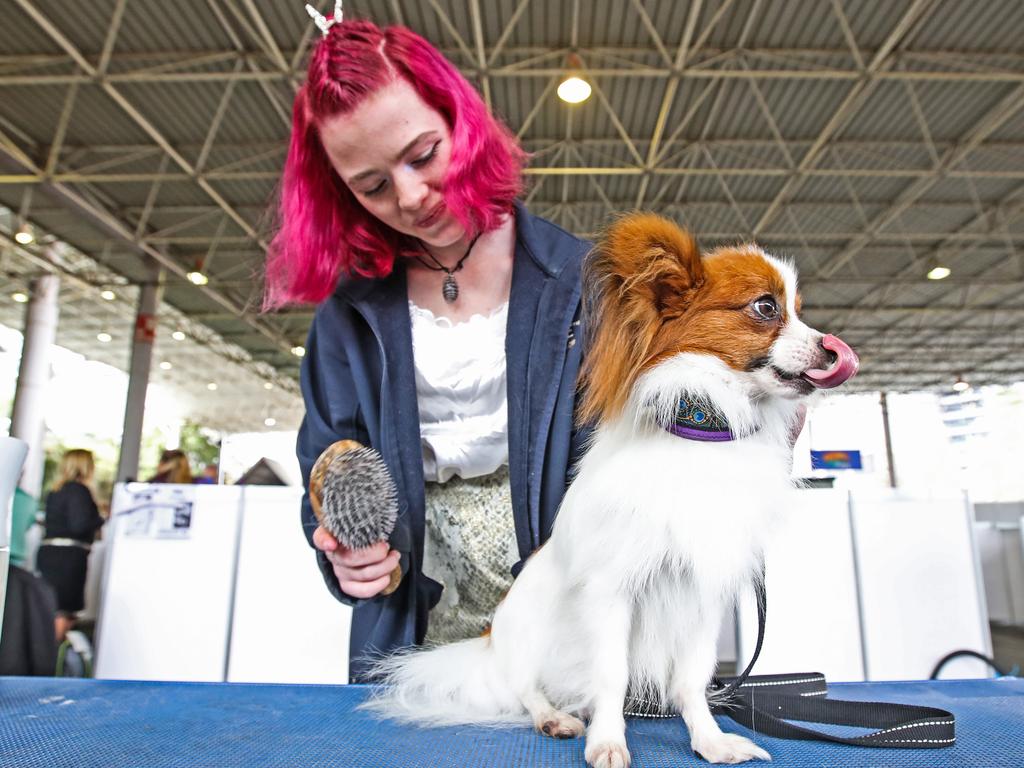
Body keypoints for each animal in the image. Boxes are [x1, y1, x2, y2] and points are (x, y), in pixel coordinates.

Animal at [364, 214, 860, 765]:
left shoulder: (703, 593)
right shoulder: (613, 590)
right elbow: (611, 675)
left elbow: (692, 680)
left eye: (801, 311)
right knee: (525, 689)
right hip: (528, 639)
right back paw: (554, 717)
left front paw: (710, 740)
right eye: (766, 308)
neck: (702, 430)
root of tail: (490, 643)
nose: (831, 346)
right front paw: (608, 740)